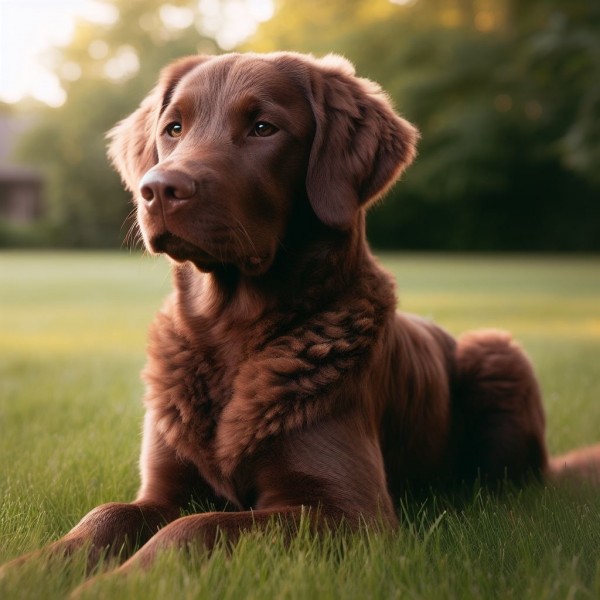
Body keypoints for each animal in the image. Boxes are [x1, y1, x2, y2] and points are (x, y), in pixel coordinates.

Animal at [2, 52, 596, 580]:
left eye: (264, 127)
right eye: (173, 128)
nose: (158, 189)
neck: (230, 334)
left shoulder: (350, 512)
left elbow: (193, 528)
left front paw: (114, 584)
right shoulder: (163, 489)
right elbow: (104, 516)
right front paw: (30, 572)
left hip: (497, 351)